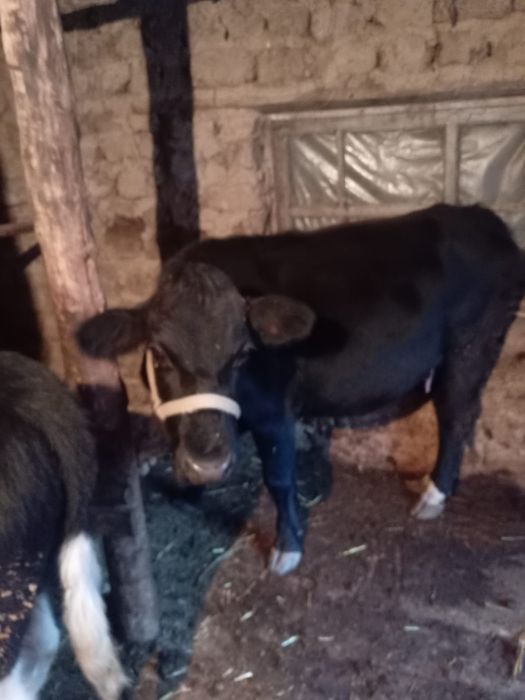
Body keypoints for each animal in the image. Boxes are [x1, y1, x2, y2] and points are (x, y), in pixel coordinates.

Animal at [77, 204, 525, 576]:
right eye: (159, 353)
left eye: (243, 353)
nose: (209, 465)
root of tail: (482, 217)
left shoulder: (275, 415)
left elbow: (279, 480)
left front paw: (286, 549)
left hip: (472, 347)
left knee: (456, 416)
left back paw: (433, 496)